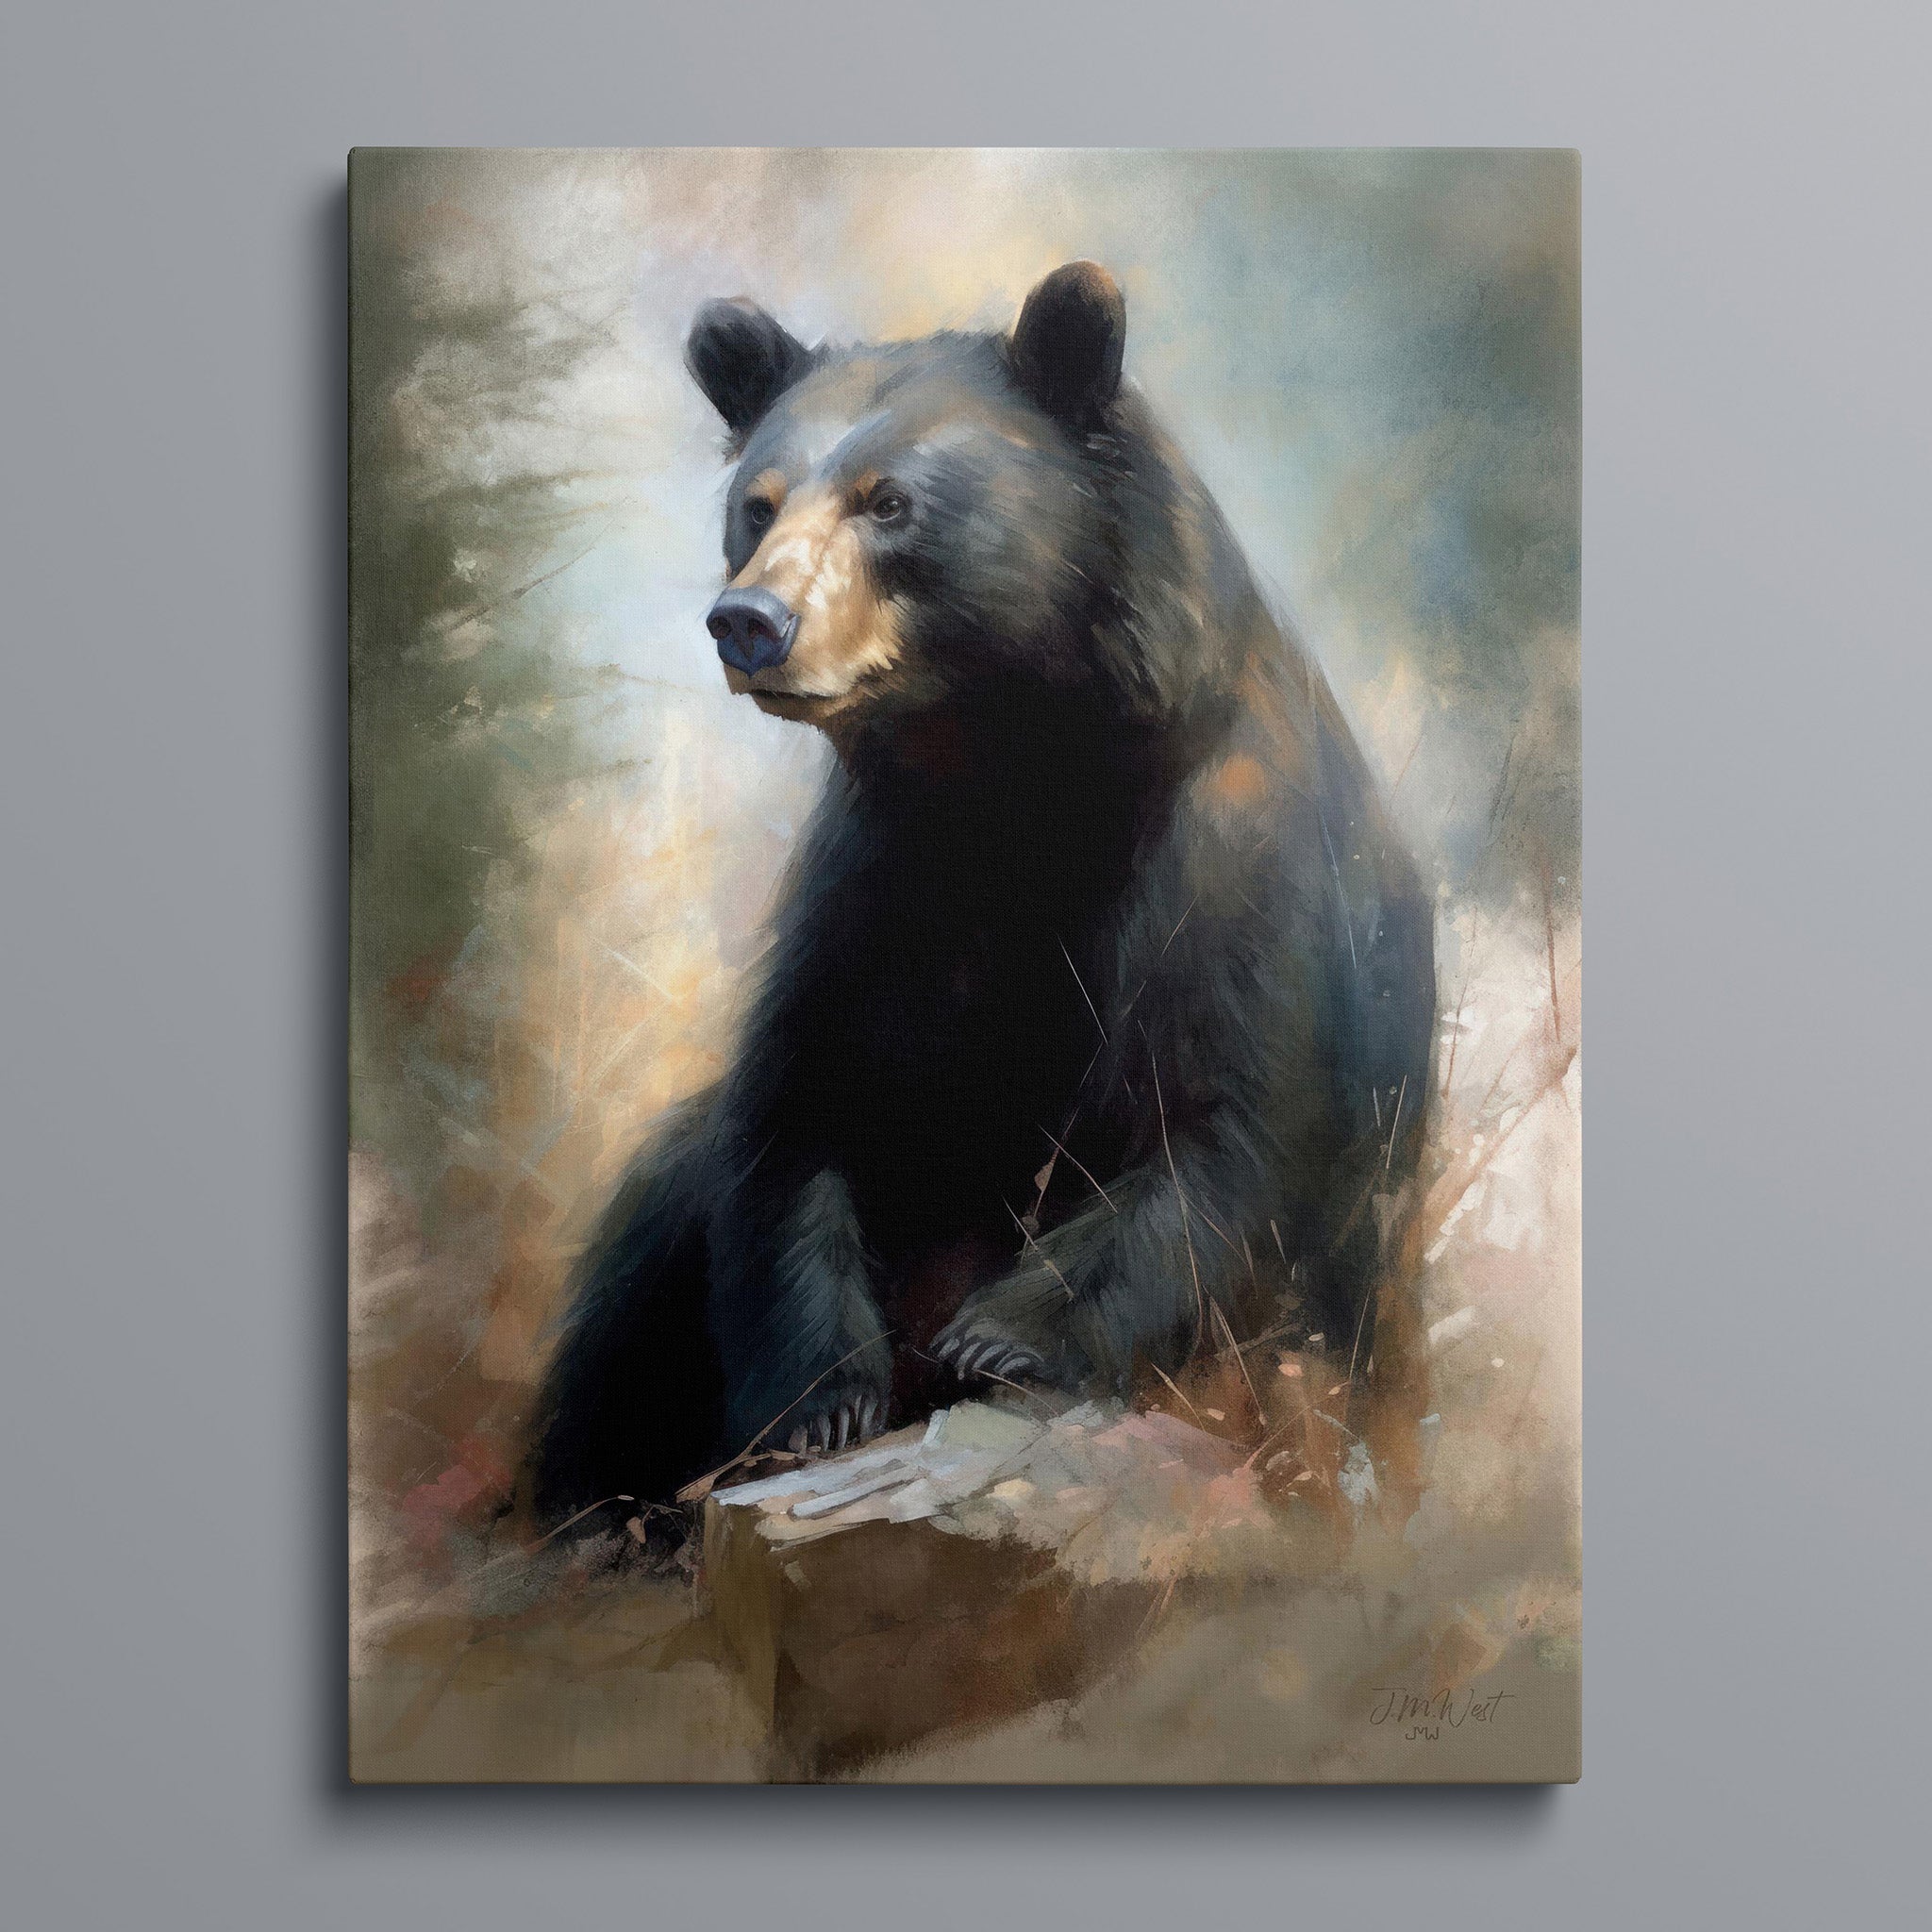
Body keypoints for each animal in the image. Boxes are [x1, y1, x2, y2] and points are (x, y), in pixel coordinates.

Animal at [530, 262, 1436, 1522]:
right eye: (757, 504)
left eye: (888, 502)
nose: (749, 621)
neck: (1005, 771)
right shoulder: (881, 882)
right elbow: (796, 1114)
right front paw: (823, 1398)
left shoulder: (1229, 864)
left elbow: (1220, 1129)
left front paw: (997, 1340)